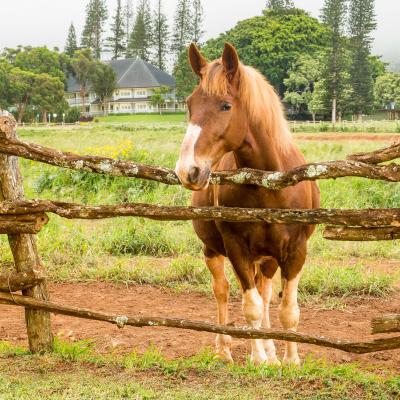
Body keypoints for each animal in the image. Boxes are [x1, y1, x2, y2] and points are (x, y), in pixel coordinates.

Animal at [175, 43, 318, 366]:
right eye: (189, 104)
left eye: (226, 106)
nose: (188, 170)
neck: (269, 184)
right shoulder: (236, 248)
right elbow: (249, 306)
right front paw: (258, 359)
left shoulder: (295, 251)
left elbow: (287, 310)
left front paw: (289, 360)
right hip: (213, 250)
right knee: (223, 291)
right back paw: (225, 349)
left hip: (267, 258)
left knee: (265, 293)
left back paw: (272, 351)